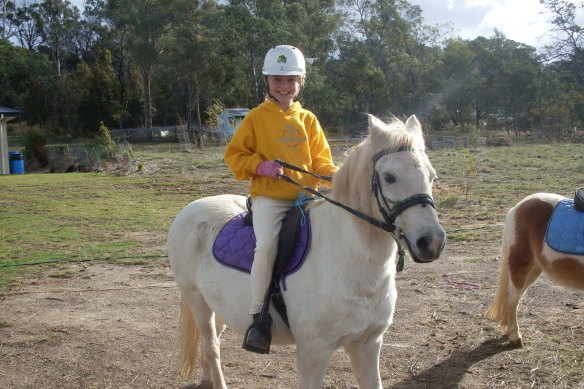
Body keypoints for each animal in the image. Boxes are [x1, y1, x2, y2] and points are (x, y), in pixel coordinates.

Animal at [169, 115, 448, 388]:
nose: (431, 242)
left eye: (432, 176)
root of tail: (191, 208)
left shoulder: (367, 345)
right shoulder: (313, 353)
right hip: (197, 300)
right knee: (211, 345)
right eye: (389, 176)